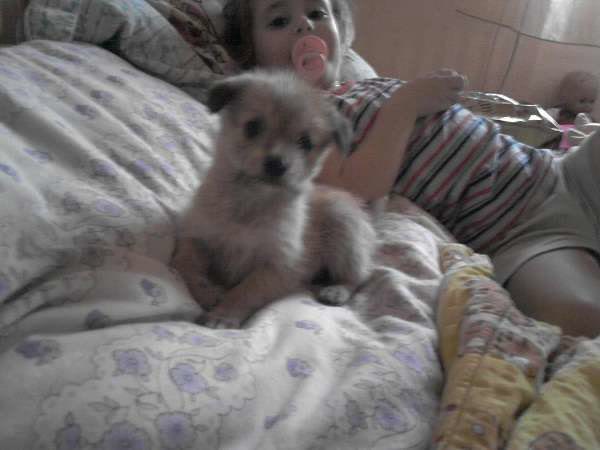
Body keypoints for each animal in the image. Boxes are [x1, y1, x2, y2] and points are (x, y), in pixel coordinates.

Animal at [174, 69, 377, 328]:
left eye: (305, 142)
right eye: (253, 126)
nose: (276, 164)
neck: (251, 199)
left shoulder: (279, 265)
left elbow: (245, 291)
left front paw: (223, 315)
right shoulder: (196, 237)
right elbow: (186, 266)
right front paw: (208, 292)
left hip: (342, 223)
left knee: (359, 276)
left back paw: (336, 290)